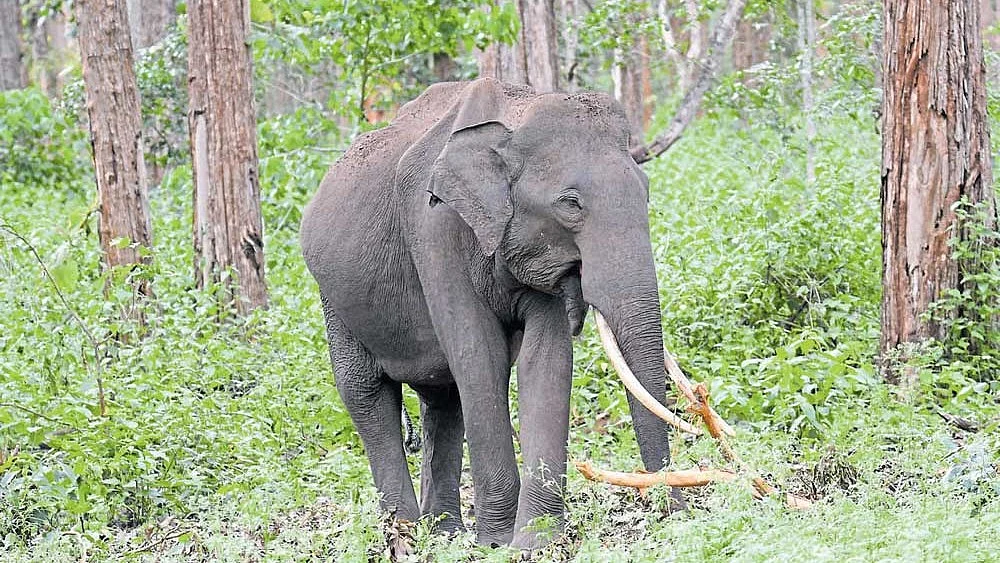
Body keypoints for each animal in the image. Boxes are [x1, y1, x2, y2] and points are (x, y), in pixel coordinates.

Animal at [300, 77, 679, 549]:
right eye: (570, 204)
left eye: (645, 191)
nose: (675, 514)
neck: (516, 112)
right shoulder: (434, 228)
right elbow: (479, 356)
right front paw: (498, 542)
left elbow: (545, 360)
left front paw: (536, 542)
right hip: (335, 298)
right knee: (365, 392)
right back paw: (404, 533)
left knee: (442, 399)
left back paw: (443, 533)